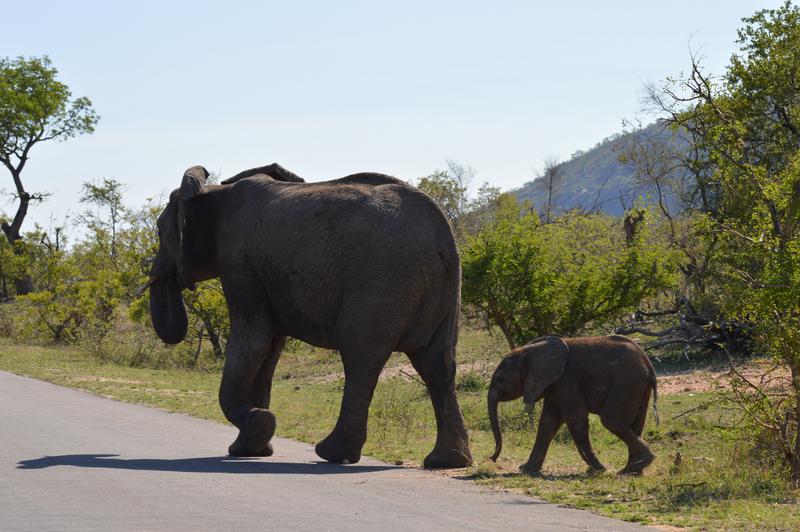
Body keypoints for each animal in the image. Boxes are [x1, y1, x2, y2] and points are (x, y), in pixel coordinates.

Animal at [146, 164, 472, 468]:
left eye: (161, 231)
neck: (215, 191)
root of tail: (444, 238)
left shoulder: (240, 263)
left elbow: (254, 340)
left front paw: (260, 424)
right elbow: (269, 350)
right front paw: (251, 448)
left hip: (382, 280)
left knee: (361, 357)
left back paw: (332, 453)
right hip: (441, 287)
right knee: (437, 363)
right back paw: (447, 461)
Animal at [490, 334, 660, 476]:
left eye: (500, 380)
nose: (492, 458)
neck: (529, 350)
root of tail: (648, 363)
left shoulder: (567, 379)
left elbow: (575, 419)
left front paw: (598, 470)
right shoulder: (554, 383)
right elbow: (547, 423)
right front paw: (526, 470)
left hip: (627, 382)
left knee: (611, 421)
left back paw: (638, 464)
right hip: (638, 385)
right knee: (636, 424)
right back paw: (632, 471)